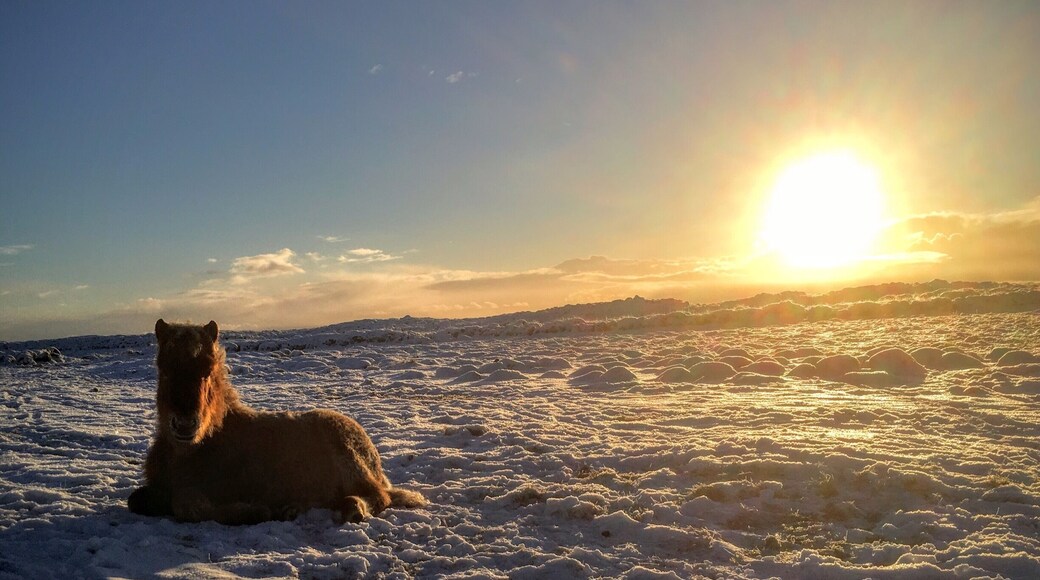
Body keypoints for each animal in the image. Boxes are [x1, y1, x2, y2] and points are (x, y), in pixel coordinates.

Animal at [127, 319, 425, 525]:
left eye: (207, 372)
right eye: (164, 370)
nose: (185, 425)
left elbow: (188, 506)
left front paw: (256, 511)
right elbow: (135, 500)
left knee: (379, 497)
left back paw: (351, 509)